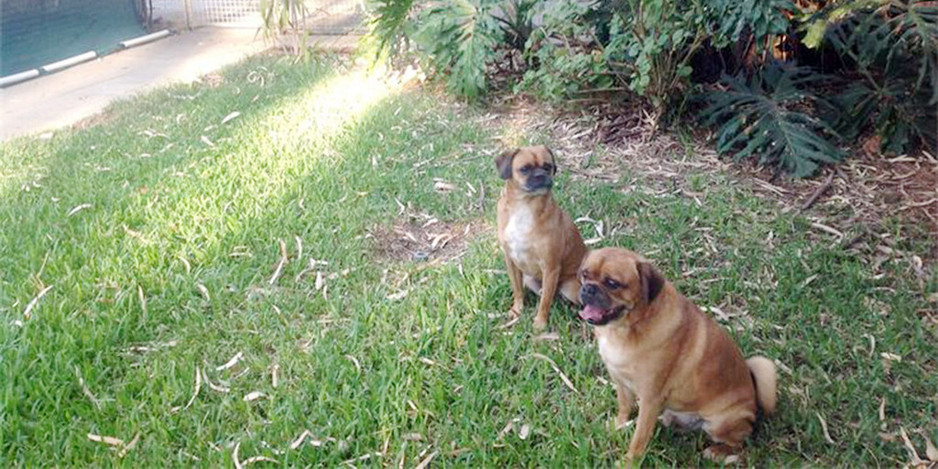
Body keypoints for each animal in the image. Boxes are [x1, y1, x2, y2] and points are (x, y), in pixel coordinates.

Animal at [494, 145, 580, 330]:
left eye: (548, 166)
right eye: (525, 169)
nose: (541, 175)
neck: (525, 206)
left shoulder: (550, 267)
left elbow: (545, 301)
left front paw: (540, 323)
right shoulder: (511, 262)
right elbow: (518, 290)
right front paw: (517, 310)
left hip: (571, 288)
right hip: (528, 278)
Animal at [576, 247, 776, 462]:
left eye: (612, 283)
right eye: (585, 275)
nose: (588, 289)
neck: (625, 329)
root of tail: (753, 405)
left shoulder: (650, 398)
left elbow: (638, 439)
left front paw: (629, 462)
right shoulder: (621, 382)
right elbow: (624, 407)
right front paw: (619, 425)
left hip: (719, 424)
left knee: (739, 443)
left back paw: (717, 451)